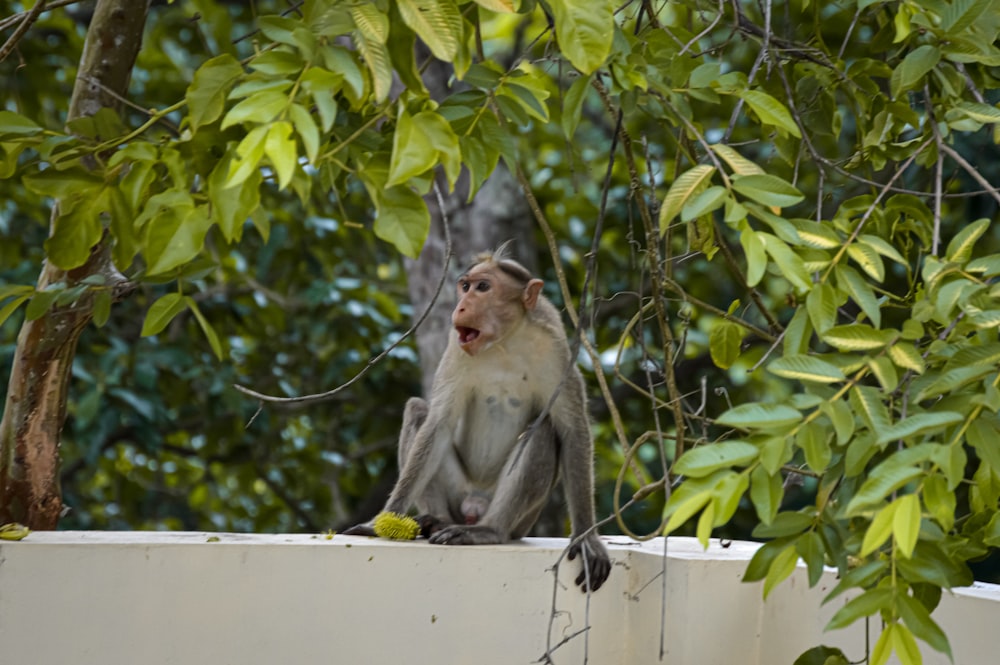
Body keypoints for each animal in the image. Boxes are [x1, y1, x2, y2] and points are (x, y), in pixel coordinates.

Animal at [344, 246, 608, 588]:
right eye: (465, 286)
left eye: (483, 287)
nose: (461, 306)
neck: (505, 343)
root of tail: (474, 507)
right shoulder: (455, 349)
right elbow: (438, 424)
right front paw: (380, 522)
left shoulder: (557, 349)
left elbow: (573, 429)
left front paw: (586, 537)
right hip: (459, 493)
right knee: (419, 411)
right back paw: (434, 521)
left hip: (521, 520)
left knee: (543, 431)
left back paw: (488, 531)